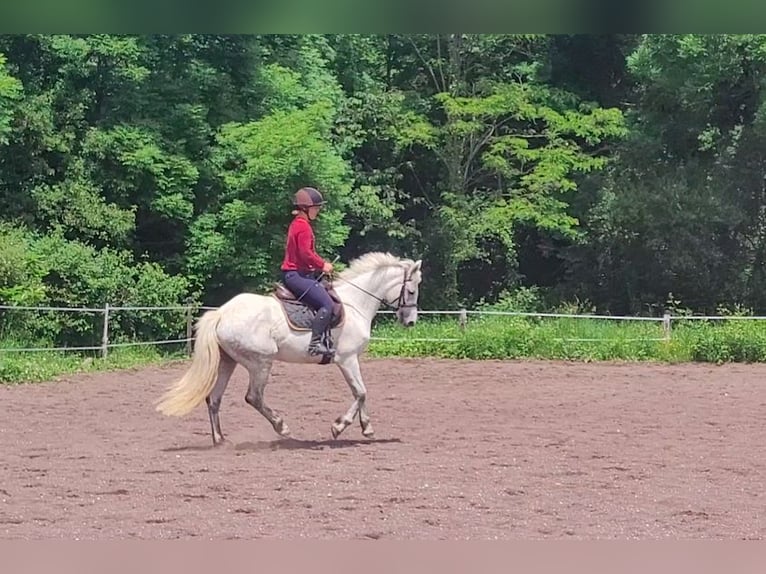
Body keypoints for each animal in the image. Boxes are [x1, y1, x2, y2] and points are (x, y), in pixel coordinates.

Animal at [154, 252, 420, 446]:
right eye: (411, 290)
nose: (410, 322)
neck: (355, 303)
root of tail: (221, 313)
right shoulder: (347, 359)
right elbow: (361, 392)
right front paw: (340, 427)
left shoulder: (349, 360)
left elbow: (361, 393)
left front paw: (366, 427)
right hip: (260, 362)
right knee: (253, 397)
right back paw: (282, 427)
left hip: (228, 362)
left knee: (214, 398)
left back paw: (220, 440)